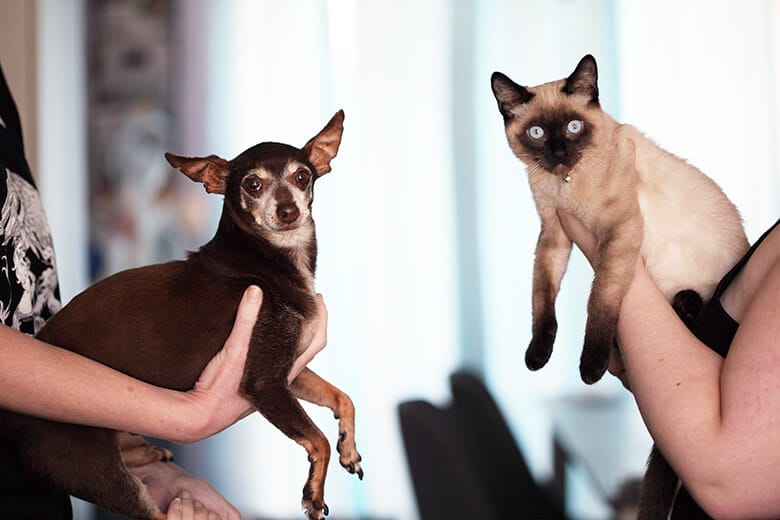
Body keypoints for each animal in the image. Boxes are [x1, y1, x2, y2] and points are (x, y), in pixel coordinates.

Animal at [494, 54, 748, 516]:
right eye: (537, 133)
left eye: (573, 127)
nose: (559, 153)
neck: (565, 186)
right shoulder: (554, 236)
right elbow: (543, 300)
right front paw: (537, 356)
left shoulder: (617, 236)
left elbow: (600, 302)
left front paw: (589, 368)